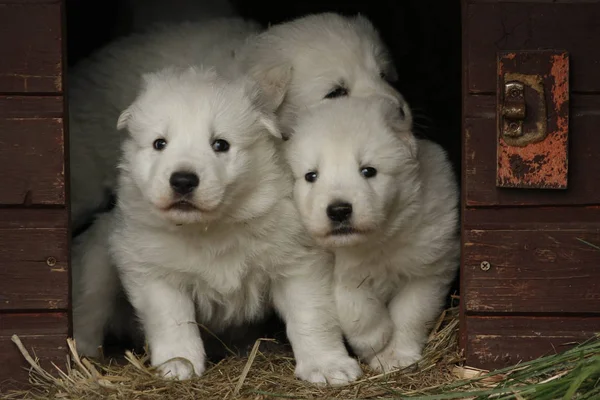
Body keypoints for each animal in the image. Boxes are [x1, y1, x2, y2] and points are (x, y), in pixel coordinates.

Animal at [77, 66, 364, 384]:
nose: (183, 181)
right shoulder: (154, 271)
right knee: (89, 308)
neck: (212, 226)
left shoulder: (298, 263)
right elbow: (172, 320)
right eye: (159, 144)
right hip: (98, 264)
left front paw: (327, 366)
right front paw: (179, 364)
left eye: (220, 144)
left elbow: (311, 316)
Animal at [284, 98, 460, 374]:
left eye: (368, 171)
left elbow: (411, 312)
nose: (339, 210)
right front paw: (375, 339)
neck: (377, 241)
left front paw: (396, 355)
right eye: (311, 176)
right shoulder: (332, 269)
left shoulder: (431, 266)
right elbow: (354, 303)